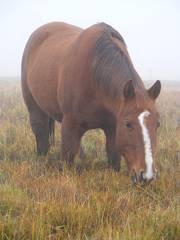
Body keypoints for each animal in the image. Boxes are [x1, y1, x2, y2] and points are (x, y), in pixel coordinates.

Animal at [21, 22, 161, 184]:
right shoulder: (70, 125)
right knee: (41, 138)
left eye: (157, 124)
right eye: (128, 124)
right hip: (35, 110)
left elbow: (114, 160)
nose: (147, 176)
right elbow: (66, 162)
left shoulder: (113, 128)